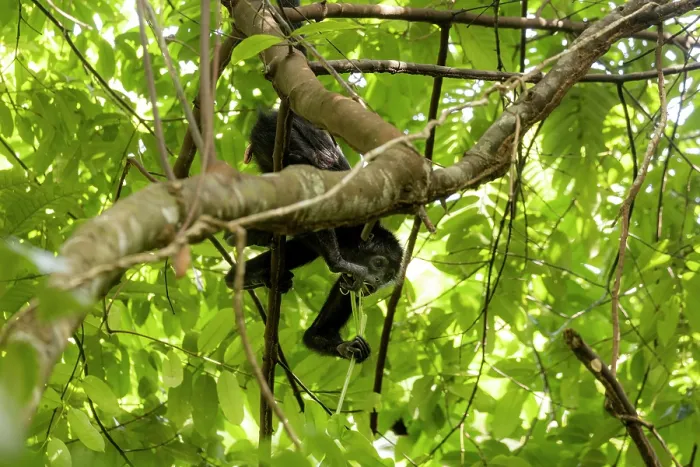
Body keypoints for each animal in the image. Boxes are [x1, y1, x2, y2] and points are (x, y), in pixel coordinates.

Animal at [225, 111, 403, 362]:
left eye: (387, 276)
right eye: (378, 263)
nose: (376, 282)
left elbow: (316, 332)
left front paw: (345, 346)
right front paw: (338, 262)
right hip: (277, 135)